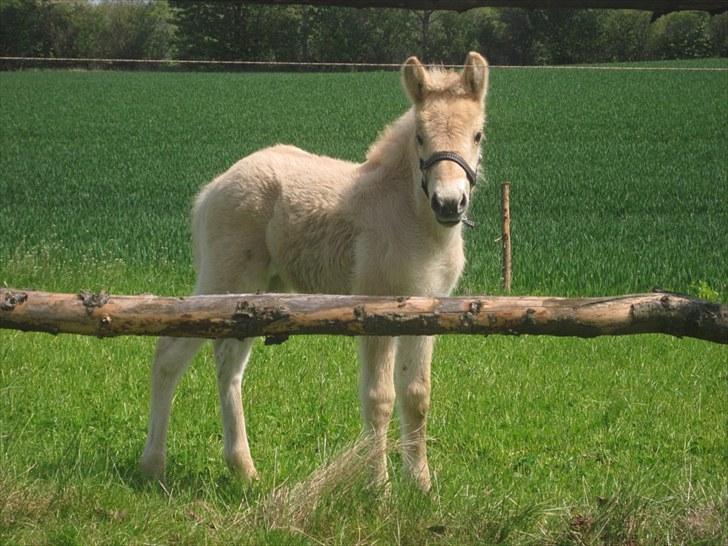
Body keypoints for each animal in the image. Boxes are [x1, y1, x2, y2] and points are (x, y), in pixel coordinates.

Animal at [138, 53, 490, 490]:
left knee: (229, 365)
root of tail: (213, 188)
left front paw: (422, 486)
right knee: (168, 352)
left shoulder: (426, 310)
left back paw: (244, 469)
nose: (449, 203)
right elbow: (379, 398)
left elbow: (417, 396)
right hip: (222, 280)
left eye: (478, 135)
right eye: (421, 137)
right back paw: (153, 465)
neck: (413, 220)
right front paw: (379, 488)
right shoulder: (375, 307)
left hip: (254, 295)